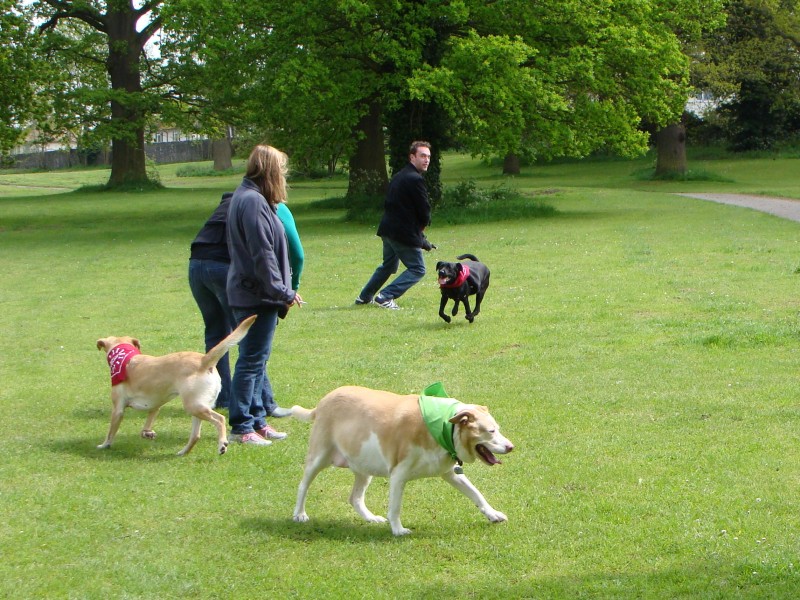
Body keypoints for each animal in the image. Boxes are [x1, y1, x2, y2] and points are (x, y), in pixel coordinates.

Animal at [95, 314, 255, 454]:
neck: (126, 358)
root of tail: (203, 360)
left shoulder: (118, 409)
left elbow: (111, 432)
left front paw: (104, 445)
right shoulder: (156, 406)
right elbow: (147, 424)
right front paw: (148, 433)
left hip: (194, 406)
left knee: (220, 419)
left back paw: (222, 444)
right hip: (198, 406)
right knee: (196, 435)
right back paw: (183, 452)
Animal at [290, 386, 516, 536]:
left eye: (498, 428)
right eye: (491, 431)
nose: (511, 446)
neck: (443, 429)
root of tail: (323, 401)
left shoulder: (450, 473)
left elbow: (476, 494)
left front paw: (493, 514)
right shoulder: (398, 475)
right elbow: (395, 507)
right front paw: (398, 530)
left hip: (364, 466)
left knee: (355, 498)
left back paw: (370, 518)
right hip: (319, 457)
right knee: (302, 486)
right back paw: (299, 514)